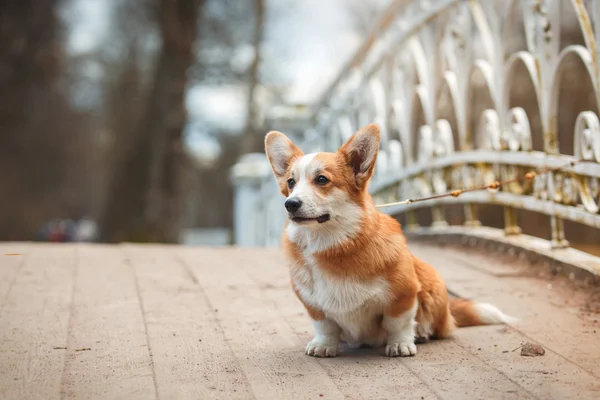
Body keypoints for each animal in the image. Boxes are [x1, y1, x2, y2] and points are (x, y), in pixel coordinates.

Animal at [264, 123, 516, 358]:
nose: (290, 204)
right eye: (291, 183)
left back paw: (421, 333)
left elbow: (397, 323)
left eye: (322, 179)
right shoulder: (313, 304)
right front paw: (323, 345)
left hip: (432, 282)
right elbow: (325, 326)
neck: (330, 244)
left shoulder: (404, 294)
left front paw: (401, 344)